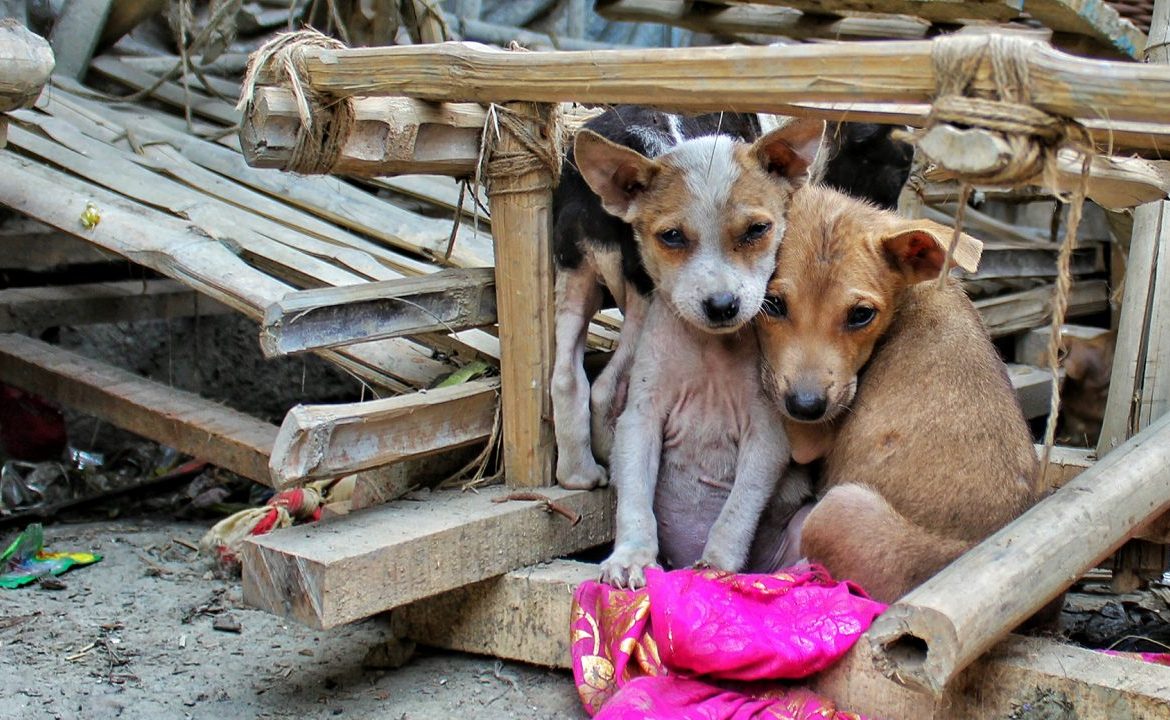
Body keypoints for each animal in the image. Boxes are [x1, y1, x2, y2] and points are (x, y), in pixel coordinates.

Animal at [573, 121, 828, 587]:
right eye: (672, 236)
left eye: (756, 230)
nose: (722, 305)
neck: (710, 351)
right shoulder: (639, 421)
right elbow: (634, 503)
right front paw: (632, 558)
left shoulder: (766, 437)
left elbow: (736, 513)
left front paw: (716, 567)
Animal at [758, 184, 1043, 604]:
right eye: (773, 304)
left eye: (861, 315)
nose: (806, 407)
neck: (913, 294)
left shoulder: (810, 435)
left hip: (837, 508)